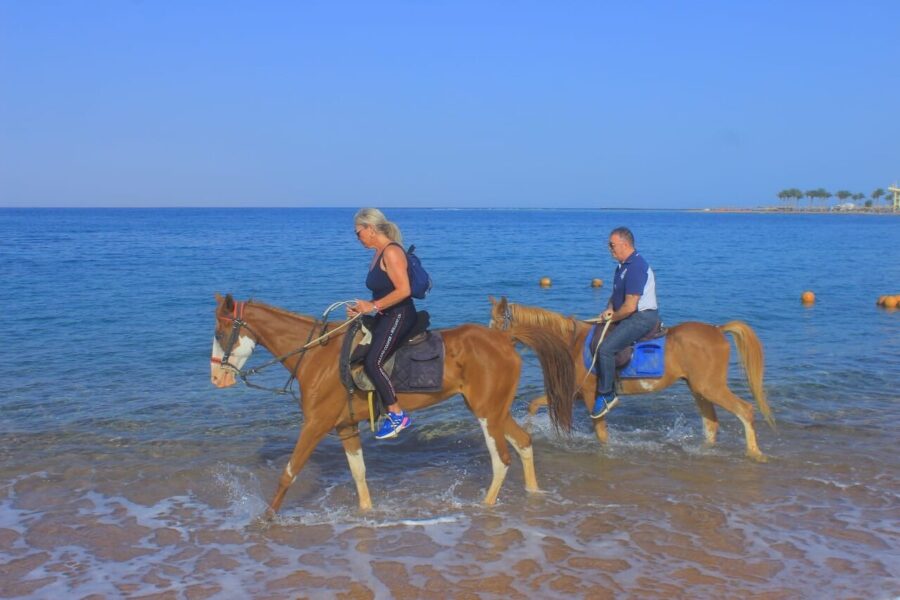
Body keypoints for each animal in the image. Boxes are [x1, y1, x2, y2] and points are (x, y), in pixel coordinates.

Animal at [209, 293, 574, 517]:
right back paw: (533, 495)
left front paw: (266, 518)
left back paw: (485, 506)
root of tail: (504, 338)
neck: (316, 355)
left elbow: (289, 473)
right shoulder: (345, 426)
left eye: (220, 332)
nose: (215, 378)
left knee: (502, 459)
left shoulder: (315, 424)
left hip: (487, 413)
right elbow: (359, 474)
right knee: (524, 443)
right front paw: (367, 513)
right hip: (493, 410)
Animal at [488, 296, 775, 461]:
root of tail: (717, 330)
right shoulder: (574, 392)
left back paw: (755, 453)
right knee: (711, 423)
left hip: (710, 387)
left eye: (496, 322)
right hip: (699, 389)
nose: (490, 341)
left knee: (745, 410)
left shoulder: (591, 396)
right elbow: (534, 404)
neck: (571, 342)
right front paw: (529, 429)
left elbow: (601, 432)